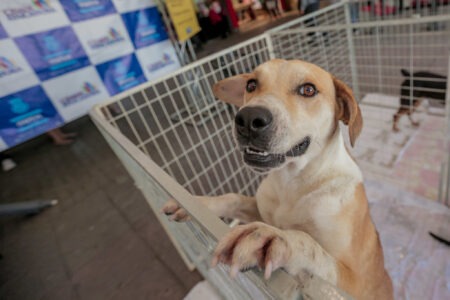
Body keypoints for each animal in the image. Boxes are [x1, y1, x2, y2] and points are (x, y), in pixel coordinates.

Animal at [163, 59, 394, 300]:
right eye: (251, 84)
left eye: (308, 90)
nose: (248, 118)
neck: (292, 182)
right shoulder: (260, 208)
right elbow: (234, 198)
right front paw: (197, 202)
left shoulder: (355, 280)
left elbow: (310, 245)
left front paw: (273, 238)